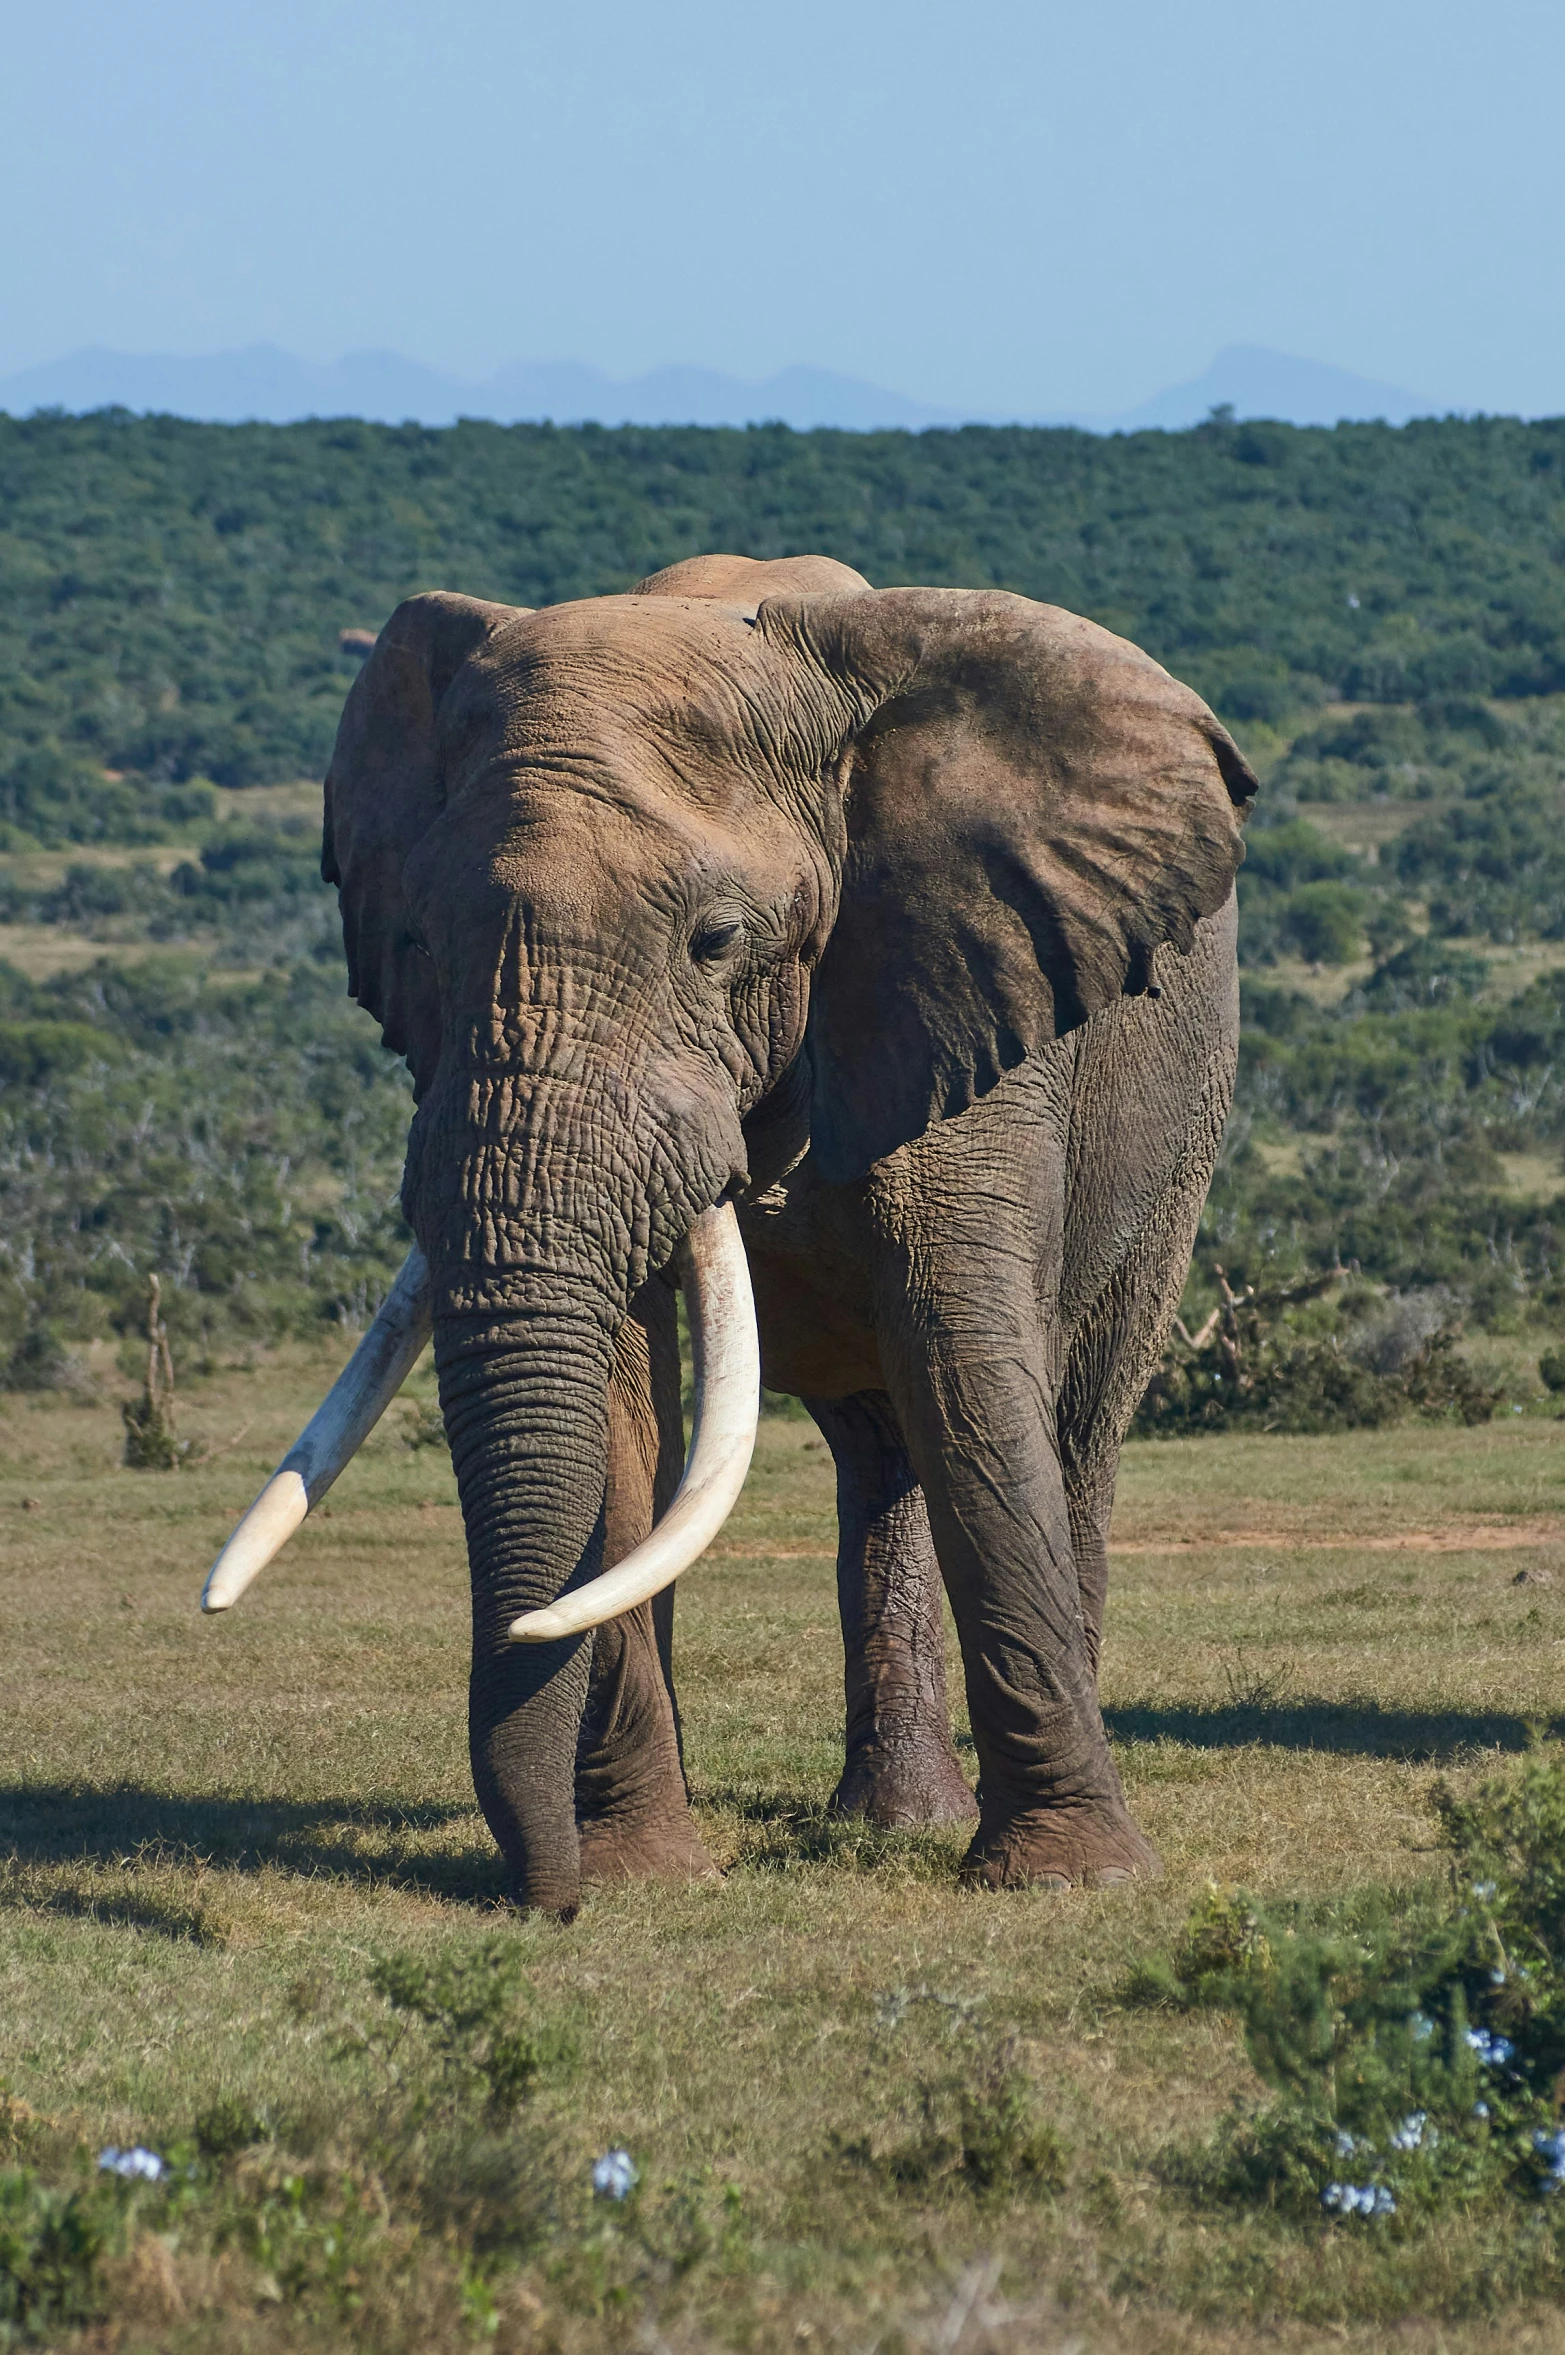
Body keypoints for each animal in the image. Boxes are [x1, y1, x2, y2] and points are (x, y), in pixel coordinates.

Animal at [204, 546, 1261, 1912]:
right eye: (419, 943)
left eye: (716, 942)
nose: (546, 1899)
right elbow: (618, 1404)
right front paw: (644, 1874)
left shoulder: (964, 1001)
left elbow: (970, 1373)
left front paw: (1071, 1883)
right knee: (879, 1452)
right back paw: (893, 1822)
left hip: (1176, 1131)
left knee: (1072, 1417)